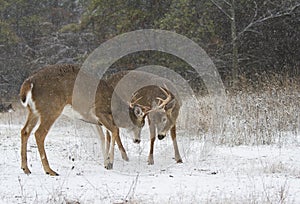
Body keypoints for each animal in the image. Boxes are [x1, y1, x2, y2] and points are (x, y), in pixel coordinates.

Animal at [19, 63, 149, 175]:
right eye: (141, 124)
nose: (138, 140)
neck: (114, 108)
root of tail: (29, 83)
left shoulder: (93, 121)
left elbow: (102, 138)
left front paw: (106, 163)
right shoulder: (99, 112)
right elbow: (115, 131)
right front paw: (110, 163)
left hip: (34, 111)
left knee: (25, 131)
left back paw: (26, 169)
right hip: (51, 108)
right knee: (39, 133)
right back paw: (49, 170)